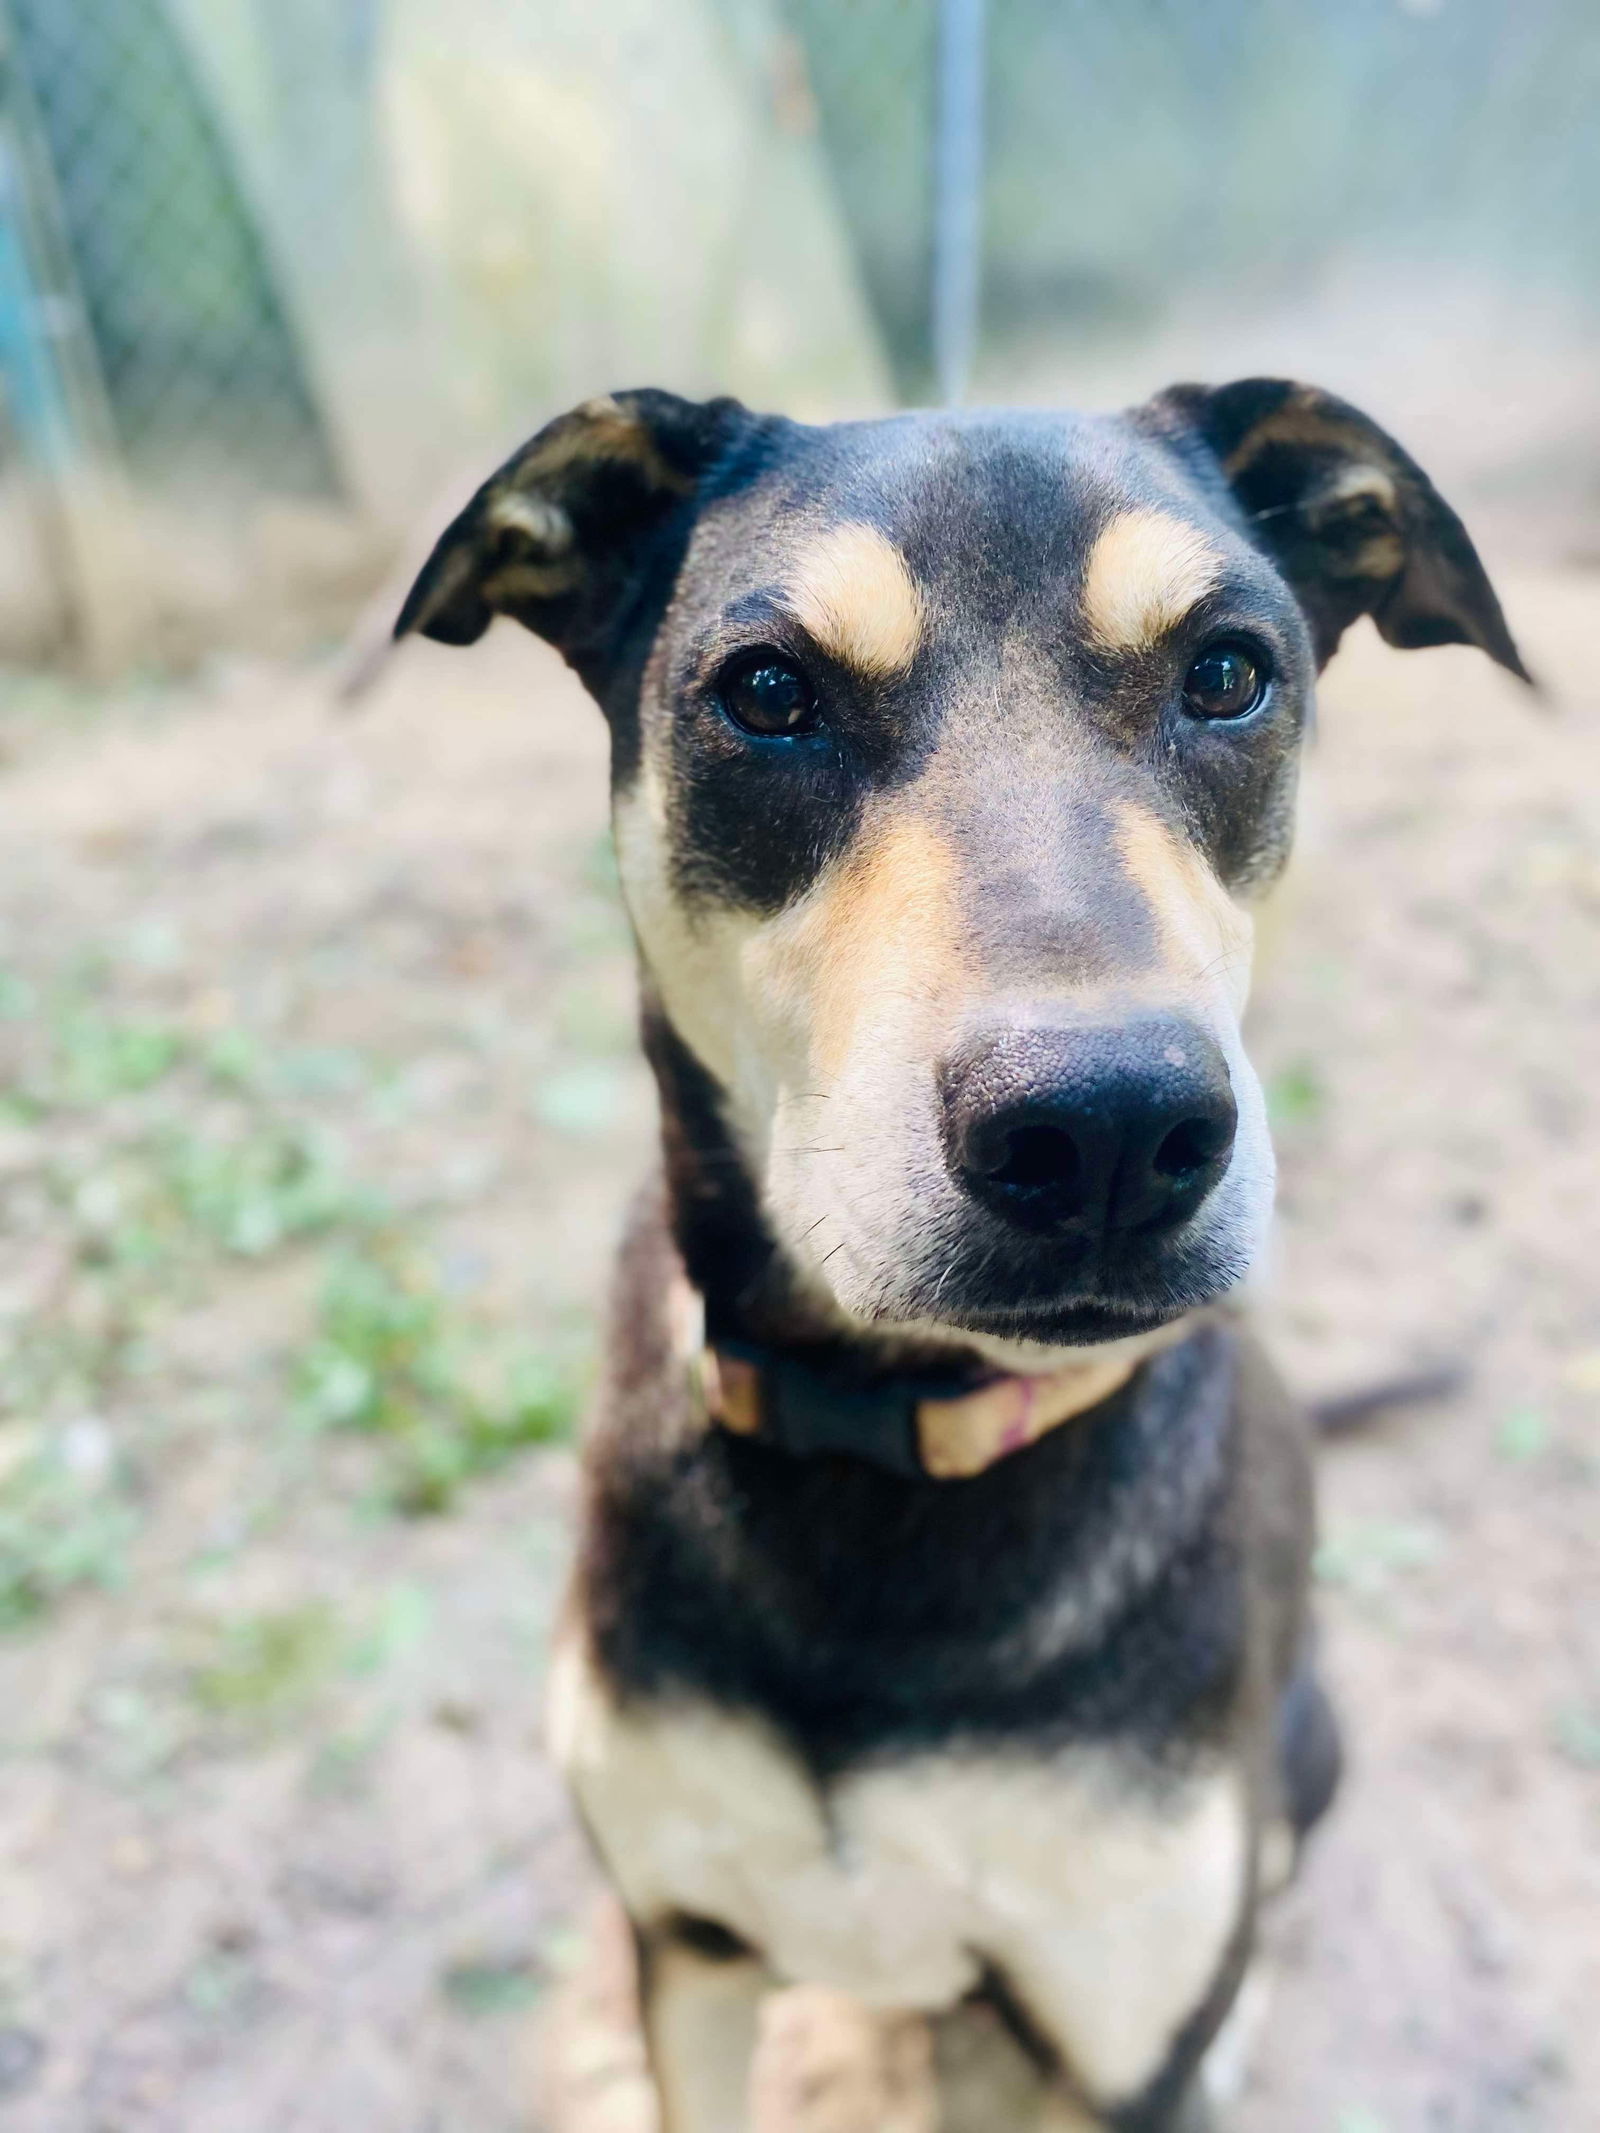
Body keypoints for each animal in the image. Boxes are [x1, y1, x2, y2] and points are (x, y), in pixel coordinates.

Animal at [398, 375, 1527, 2124]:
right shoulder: (686, 1948)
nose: (1108, 1131)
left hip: (1304, 1750)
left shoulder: (1117, 2031)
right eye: (768, 692)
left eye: (1228, 672)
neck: (892, 1441)